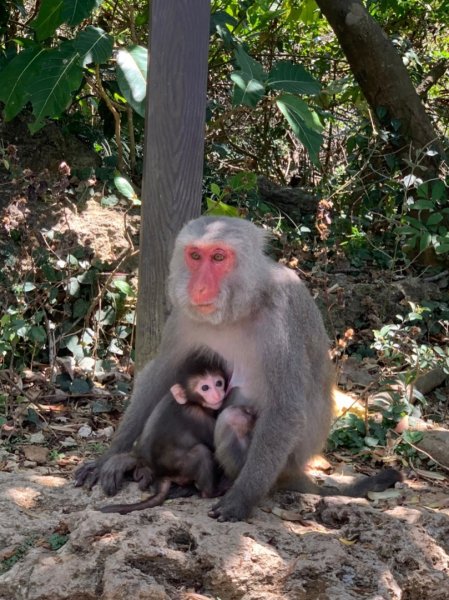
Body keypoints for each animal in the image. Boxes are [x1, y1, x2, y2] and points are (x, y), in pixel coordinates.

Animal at [100, 352, 229, 516]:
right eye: (205, 387)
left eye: (219, 383)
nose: (218, 394)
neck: (189, 402)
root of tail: (163, 475)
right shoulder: (196, 416)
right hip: (181, 470)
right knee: (201, 452)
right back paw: (213, 492)